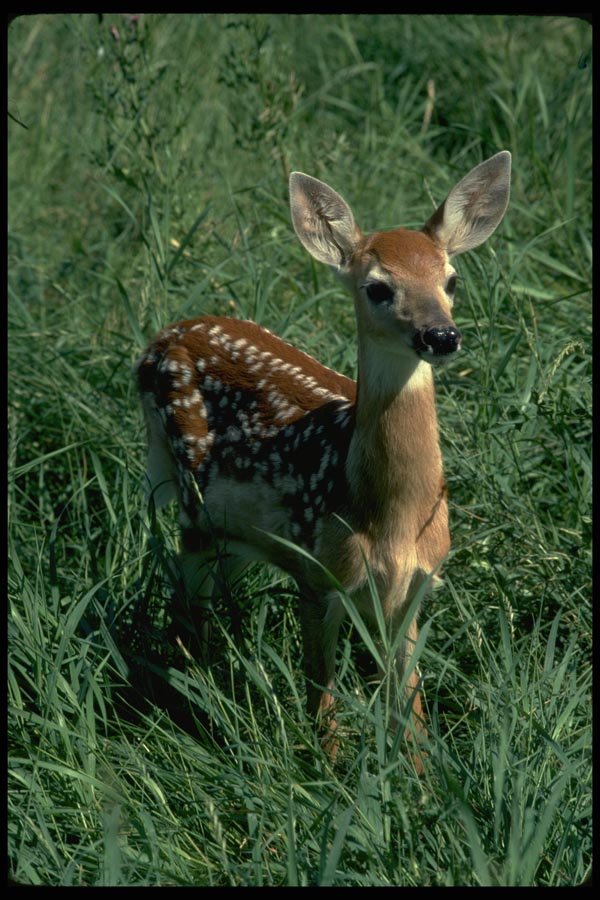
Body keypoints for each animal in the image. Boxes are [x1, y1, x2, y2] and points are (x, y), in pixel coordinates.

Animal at [135, 151, 511, 766]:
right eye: (378, 287)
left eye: (451, 279)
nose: (441, 335)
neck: (390, 518)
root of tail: (157, 341)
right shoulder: (317, 575)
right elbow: (322, 694)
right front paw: (328, 768)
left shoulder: (414, 588)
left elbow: (409, 703)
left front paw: (422, 777)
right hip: (193, 507)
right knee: (185, 608)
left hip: (237, 535)